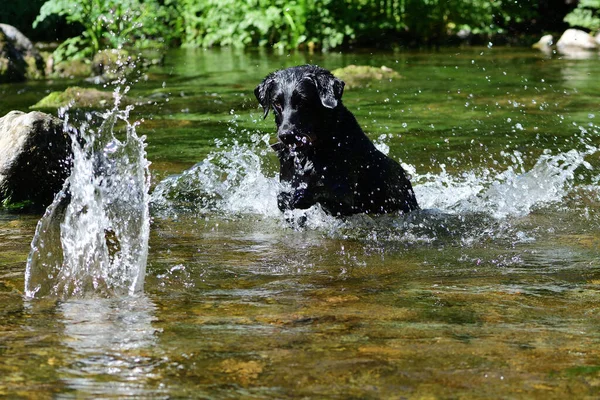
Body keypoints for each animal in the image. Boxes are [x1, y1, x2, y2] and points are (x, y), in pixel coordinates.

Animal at [255, 65, 420, 216]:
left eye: (302, 101)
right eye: (277, 103)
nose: (286, 135)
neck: (310, 152)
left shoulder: (346, 201)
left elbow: (320, 191)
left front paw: (300, 196)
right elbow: (282, 199)